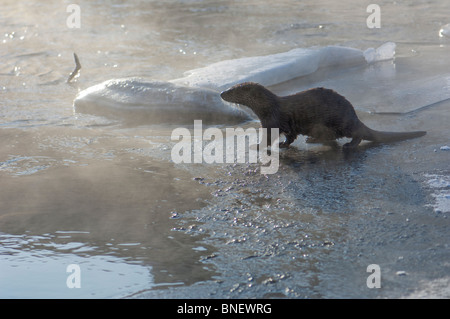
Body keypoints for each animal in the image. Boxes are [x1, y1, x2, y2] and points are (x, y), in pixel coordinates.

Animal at [220, 82, 428, 148]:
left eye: (232, 90)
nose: (221, 93)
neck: (268, 107)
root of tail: (354, 116)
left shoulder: (272, 121)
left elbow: (270, 137)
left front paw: (256, 146)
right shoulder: (285, 125)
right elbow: (290, 136)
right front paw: (284, 145)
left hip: (341, 122)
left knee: (357, 135)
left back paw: (349, 146)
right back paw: (313, 139)